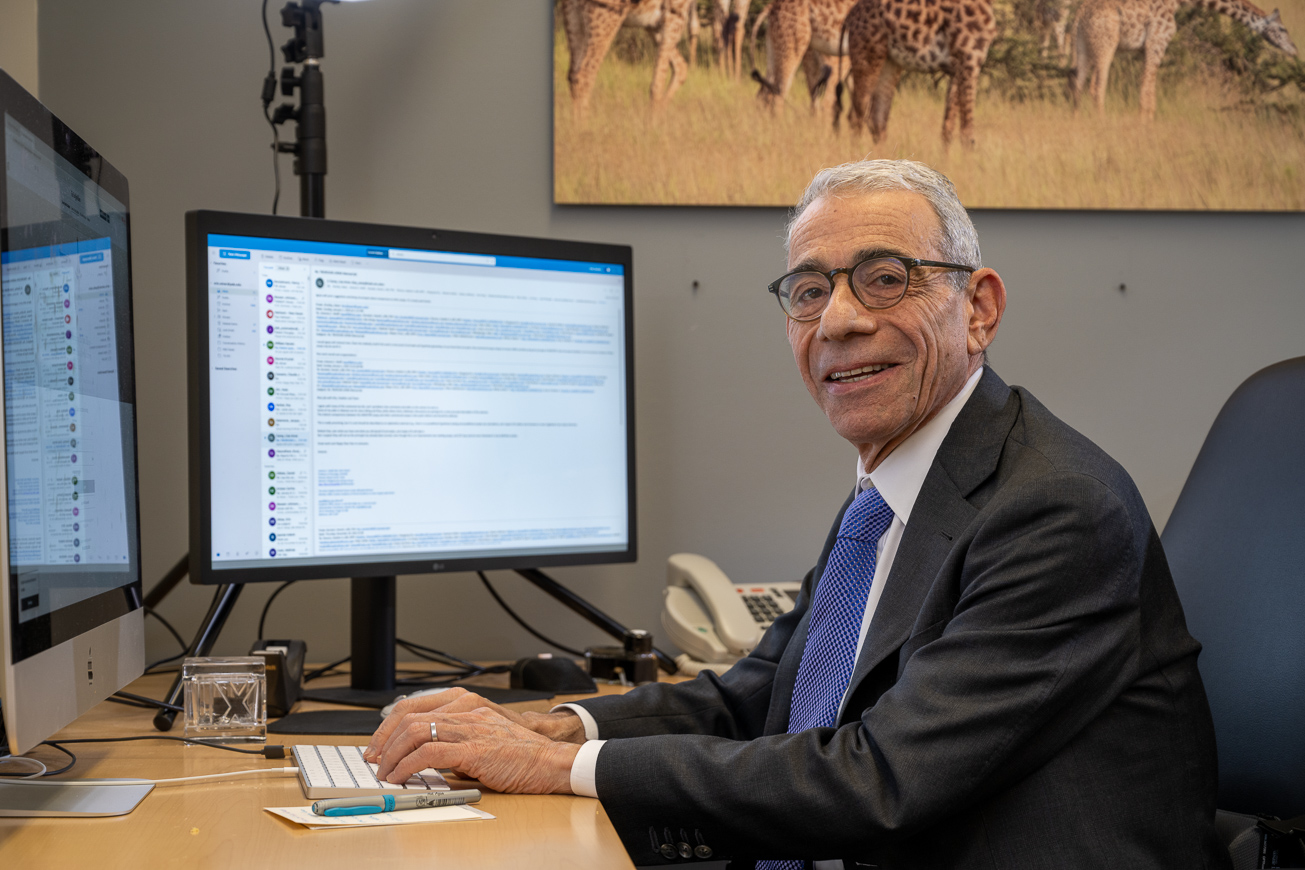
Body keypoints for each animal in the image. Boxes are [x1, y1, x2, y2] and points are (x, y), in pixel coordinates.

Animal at [561, 0, 695, 119]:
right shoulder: (675, 13)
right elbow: (658, 84)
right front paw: (653, 126)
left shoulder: (653, 23)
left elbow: (680, 68)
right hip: (607, 14)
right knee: (585, 75)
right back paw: (584, 128)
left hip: (574, 16)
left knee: (573, 75)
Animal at [835, 0, 997, 146]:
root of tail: (851, 15)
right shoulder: (969, 60)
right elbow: (967, 134)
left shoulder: (957, 70)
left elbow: (948, 129)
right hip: (868, 56)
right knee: (857, 116)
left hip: (889, 63)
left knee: (877, 119)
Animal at [1072, 0, 1297, 118]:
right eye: (1282, 29)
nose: (1295, 50)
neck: (1177, 3)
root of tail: (1080, 13)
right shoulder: (1157, 42)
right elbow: (1147, 93)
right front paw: (1145, 131)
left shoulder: (1145, 49)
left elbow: (1147, 91)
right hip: (1106, 44)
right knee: (1097, 88)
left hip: (1082, 46)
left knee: (1078, 86)